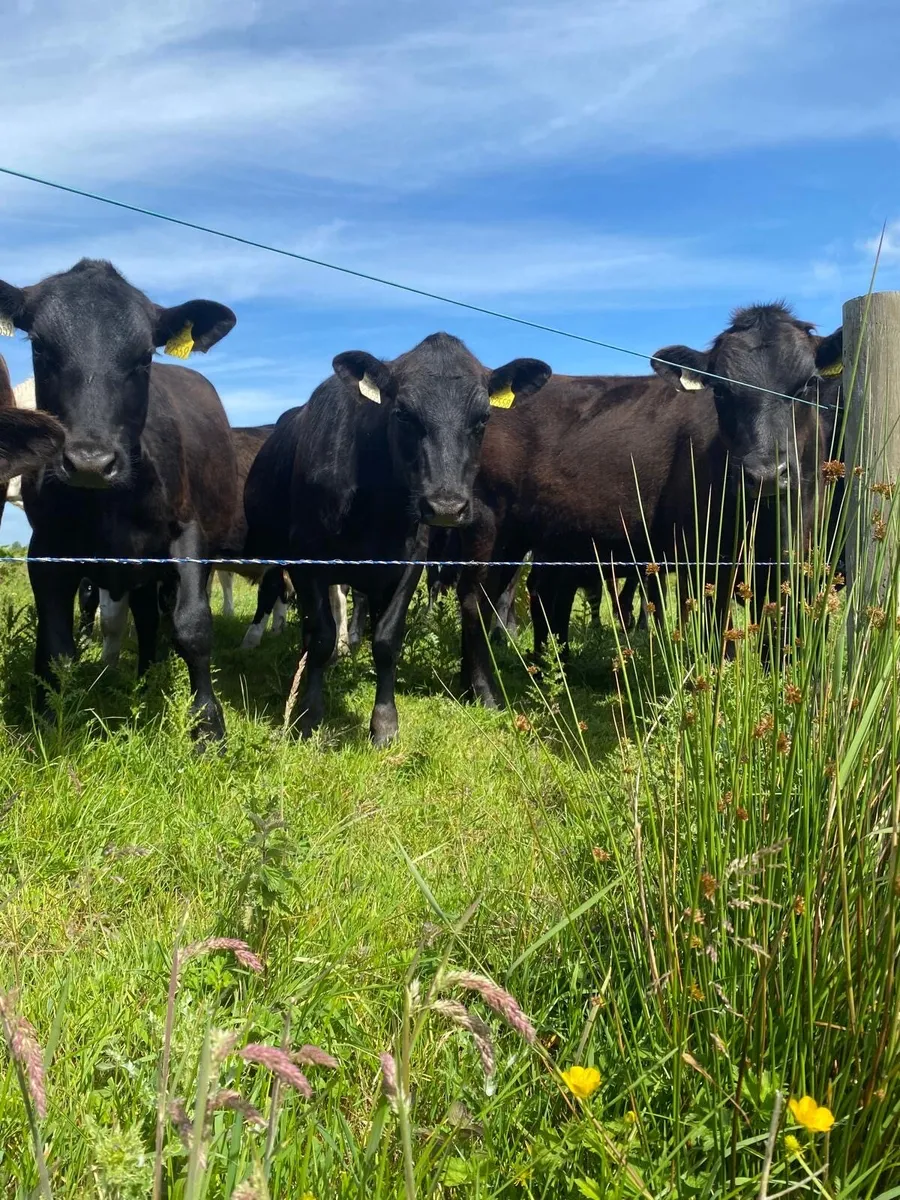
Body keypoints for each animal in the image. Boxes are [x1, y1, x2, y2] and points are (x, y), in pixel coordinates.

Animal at [0, 258, 238, 744]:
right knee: (144, 620)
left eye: (145, 356)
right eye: (41, 348)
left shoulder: (187, 533)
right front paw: (49, 723)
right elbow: (55, 642)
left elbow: (193, 626)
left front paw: (208, 726)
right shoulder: (46, 548)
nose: (90, 461)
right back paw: (145, 678)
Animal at [245, 333, 551, 744]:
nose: (446, 506)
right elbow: (322, 636)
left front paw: (385, 723)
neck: (375, 504)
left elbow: (387, 640)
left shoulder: (409, 562)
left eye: (484, 418)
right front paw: (308, 716)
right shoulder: (308, 559)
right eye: (403, 413)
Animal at [457, 304, 839, 705]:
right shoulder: (701, 556)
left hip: (538, 538)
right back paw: (485, 693)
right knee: (476, 598)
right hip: (489, 523)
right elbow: (718, 635)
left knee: (530, 595)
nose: (764, 474)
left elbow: (782, 631)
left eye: (809, 384)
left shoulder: (795, 552)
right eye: (720, 391)